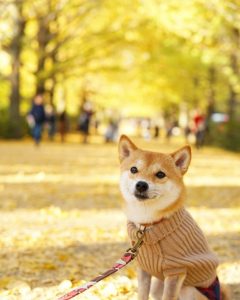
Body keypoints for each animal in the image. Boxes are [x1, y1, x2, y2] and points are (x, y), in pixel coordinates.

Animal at [119, 135, 230, 300]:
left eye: (160, 174)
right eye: (133, 169)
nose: (141, 185)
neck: (148, 223)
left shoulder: (176, 271)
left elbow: (168, 296)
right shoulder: (144, 268)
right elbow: (142, 294)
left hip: (188, 289)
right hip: (158, 286)